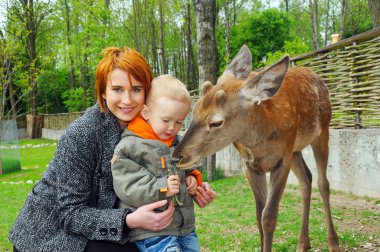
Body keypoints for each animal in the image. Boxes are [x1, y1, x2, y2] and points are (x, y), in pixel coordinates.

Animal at [171, 45, 338, 252]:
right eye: (194, 111)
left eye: (216, 121)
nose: (176, 156)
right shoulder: (250, 165)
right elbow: (259, 216)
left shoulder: (282, 158)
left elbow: (269, 217)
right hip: (296, 149)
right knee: (306, 180)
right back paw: (303, 243)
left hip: (322, 130)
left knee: (323, 183)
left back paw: (333, 242)